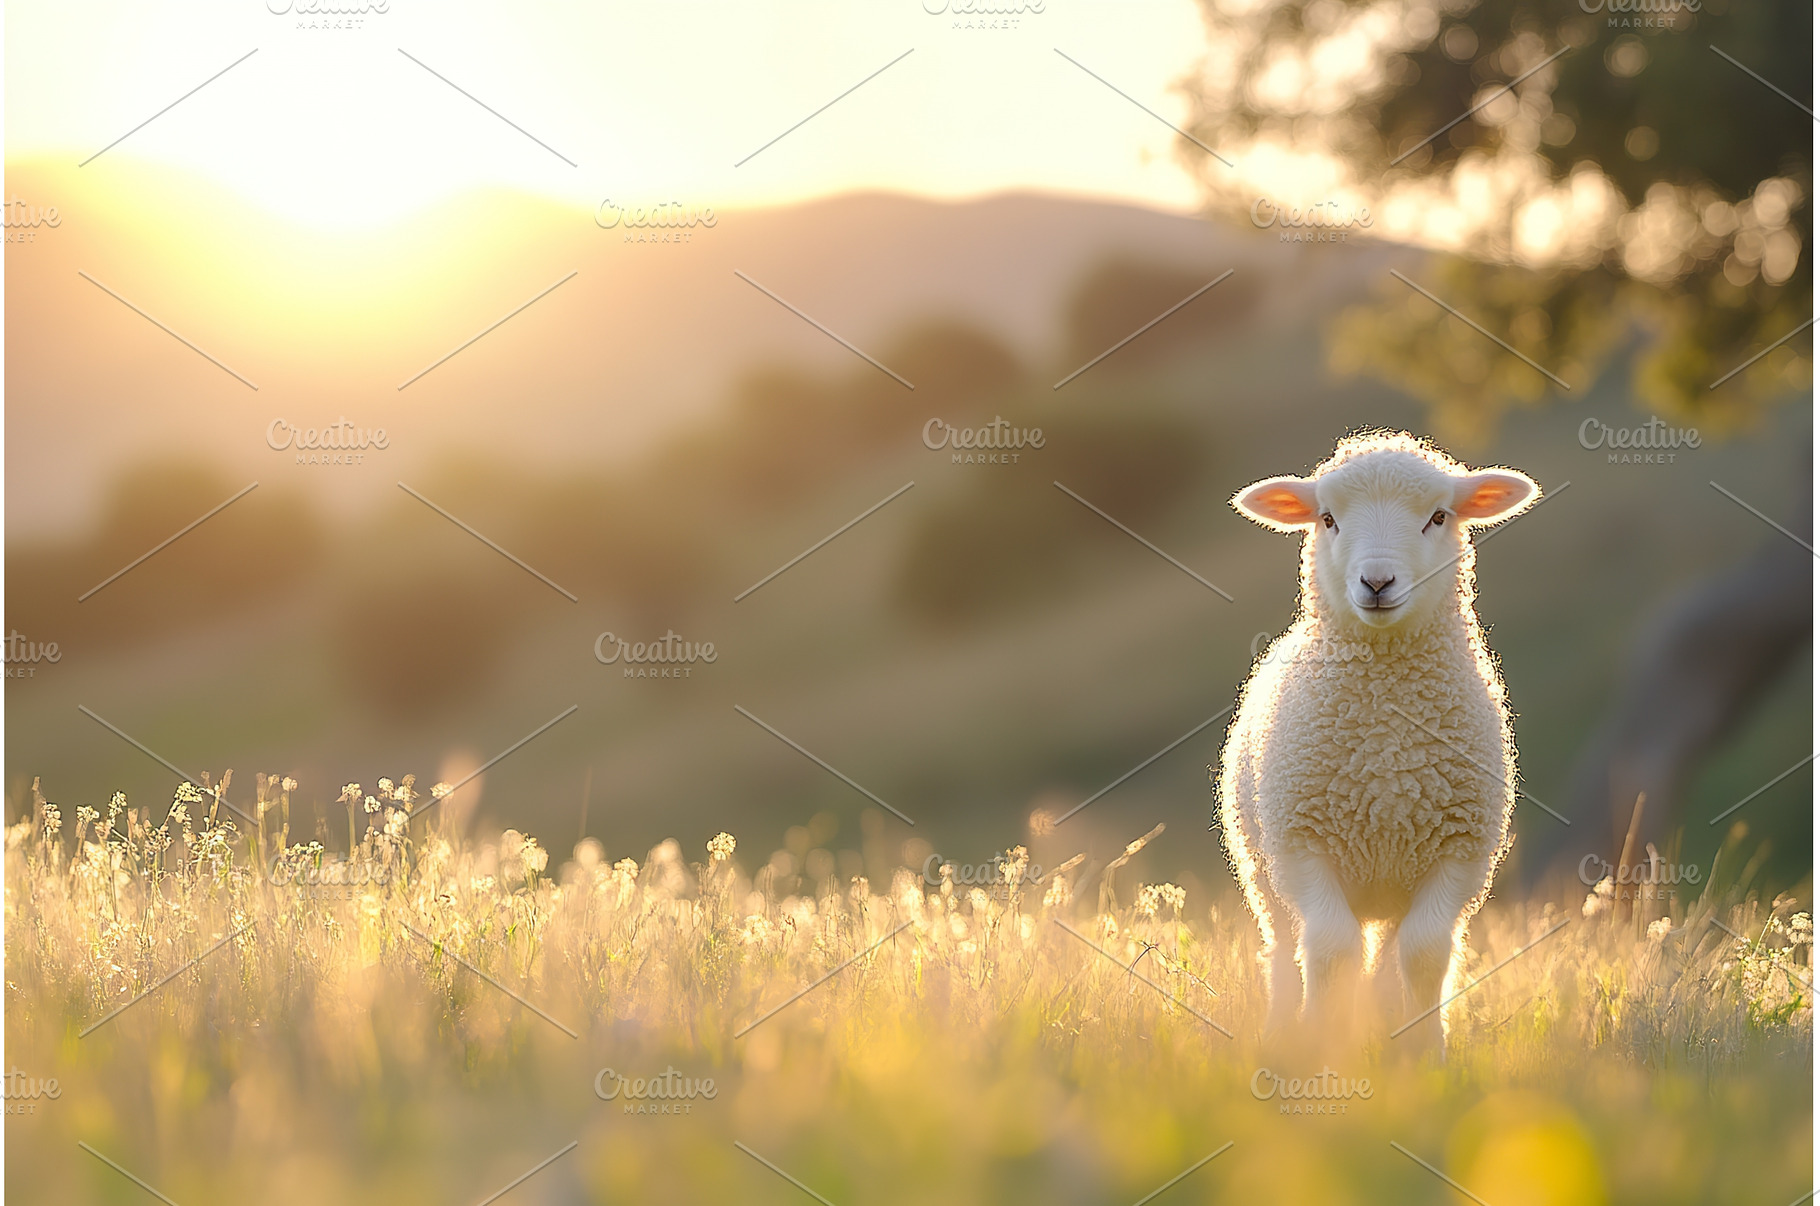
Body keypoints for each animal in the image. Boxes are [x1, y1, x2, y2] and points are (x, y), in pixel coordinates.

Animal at [1217, 430, 1539, 1052]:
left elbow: (1424, 954)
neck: (1386, 736)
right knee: (1285, 950)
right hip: (1263, 866)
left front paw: (1425, 1052)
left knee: (1388, 959)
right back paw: (1284, 1027)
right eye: (1327, 518)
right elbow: (1330, 949)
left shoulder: (1459, 852)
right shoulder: (1302, 845)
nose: (1377, 583)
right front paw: (1322, 1041)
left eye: (1438, 516)